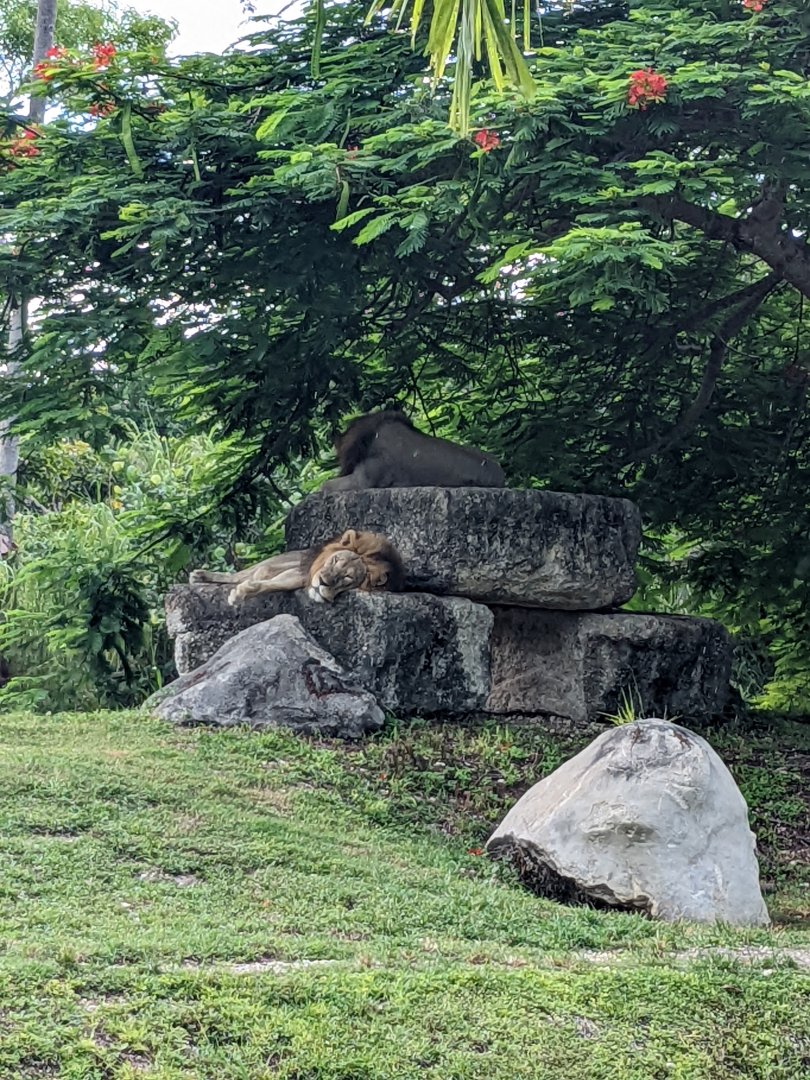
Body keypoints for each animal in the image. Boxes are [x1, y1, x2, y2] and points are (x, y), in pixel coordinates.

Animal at [189, 529, 404, 607]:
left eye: (348, 578)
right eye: (335, 561)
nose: (323, 582)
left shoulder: (301, 577)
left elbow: (273, 584)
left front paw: (243, 592)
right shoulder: (305, 571)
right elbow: (257, 577)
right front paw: (239, 592)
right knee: (245, 573)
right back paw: (200, 576)